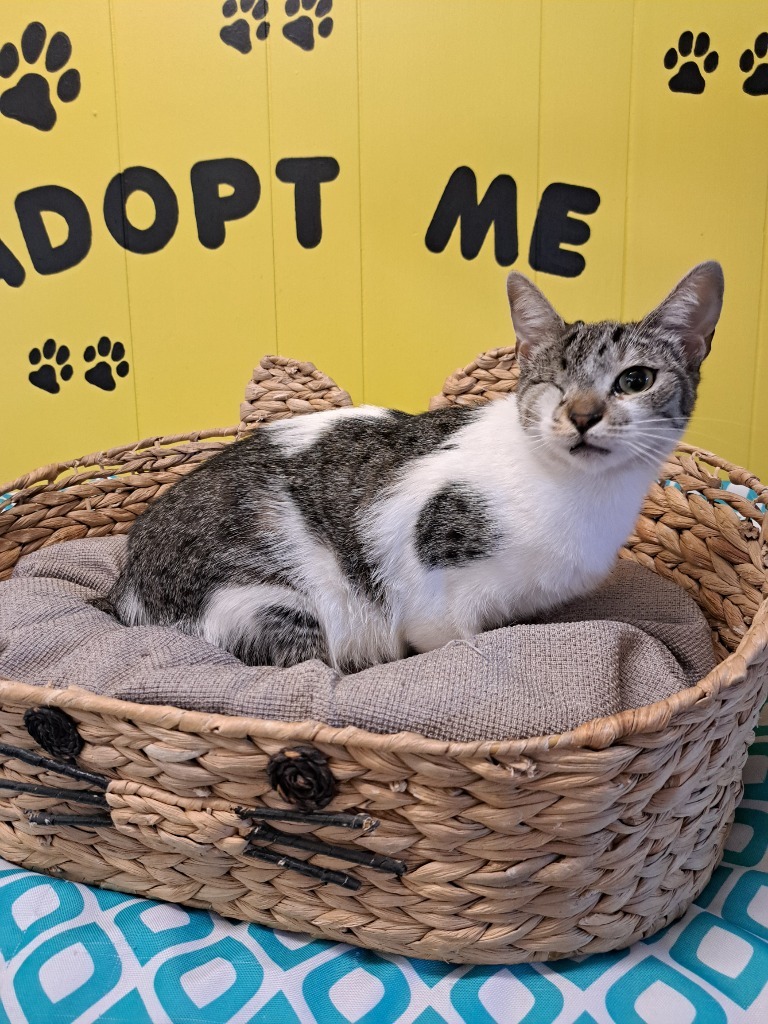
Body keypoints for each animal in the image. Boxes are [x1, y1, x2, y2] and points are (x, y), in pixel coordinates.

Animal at [111, 262, 724, 671]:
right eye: (554, 383)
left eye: (635, 379)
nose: (581, 415)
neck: (580, 493)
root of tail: (124, 584)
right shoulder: (433, 581)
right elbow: (448, 642)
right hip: (267, 603)